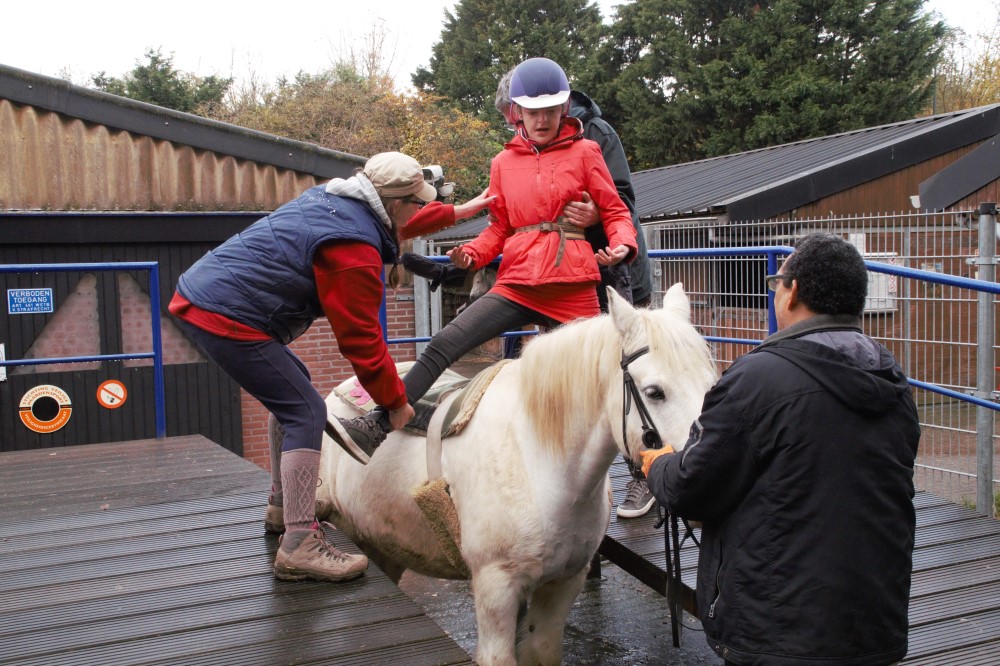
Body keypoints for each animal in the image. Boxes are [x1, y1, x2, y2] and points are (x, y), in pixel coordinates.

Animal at [292, 286, 716, 664]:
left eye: (713, 385)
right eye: (655, 391)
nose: (705, 487)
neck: (540, 464)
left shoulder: (563, 584)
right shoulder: (496, 589)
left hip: (384, 545)